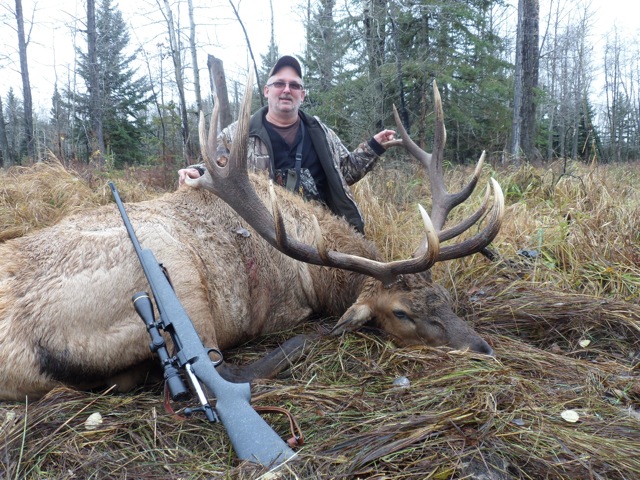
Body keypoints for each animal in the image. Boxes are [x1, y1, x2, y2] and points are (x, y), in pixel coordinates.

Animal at [0, 76, 503, 402]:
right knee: (222, 370)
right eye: (401, 313)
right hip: (175, 271)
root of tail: (17, 351)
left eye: (443, 298)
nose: (483, 349)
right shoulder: (284, 307)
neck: (317, 273)